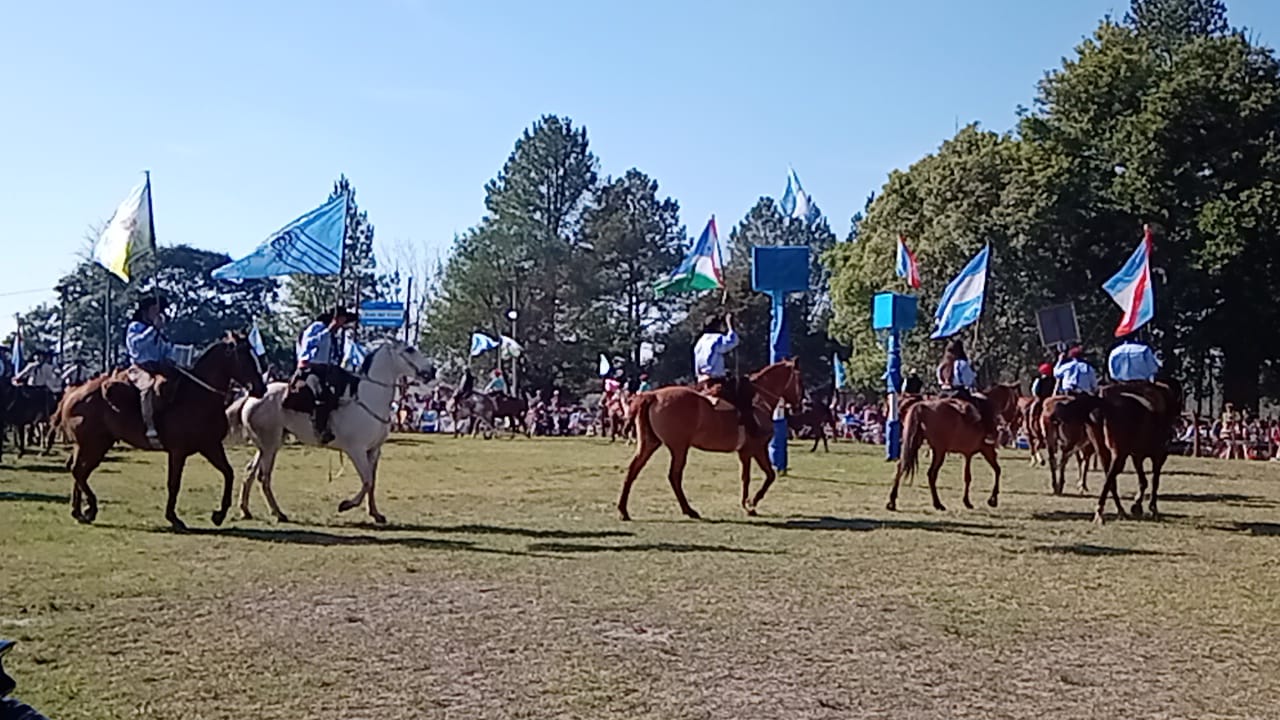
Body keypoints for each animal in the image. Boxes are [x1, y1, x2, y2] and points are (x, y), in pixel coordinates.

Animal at [56, 333, 266, 530]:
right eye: (245, 356)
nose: (261, 388)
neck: (198, 397)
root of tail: (73, 393)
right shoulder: (178, 452)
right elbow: (174, 483)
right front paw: (173, 518)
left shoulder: (210, 446)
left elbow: (228, 473)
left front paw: (219, 515)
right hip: (93, 444)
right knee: (78, 471)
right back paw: (91, 508)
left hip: (93, 445)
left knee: (79, 470)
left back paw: (79, 511)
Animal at [235, 340, 435, 525]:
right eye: (409, 349)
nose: (432, 370)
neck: (368, 398)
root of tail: (252, 397)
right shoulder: (356, 451)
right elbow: (367, 481)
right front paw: (345, 505)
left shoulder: (374, 451)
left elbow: (372, 482)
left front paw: (376, 514)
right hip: (270, 445)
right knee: (264, 477)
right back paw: (278, 513)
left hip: (266, 446)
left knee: (250, 471)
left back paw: (246, 510)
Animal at [617, 359, 803, 521]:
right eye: (799, 381)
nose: (798, 406)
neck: (758, 400)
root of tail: (653, 396)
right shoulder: (755, 449)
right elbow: (764, 476)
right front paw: (751, 503)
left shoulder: (746, 452)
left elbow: (752, 476)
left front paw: (748, 503)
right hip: (679, 448)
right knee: (674, 476)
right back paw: (689, 510)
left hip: (650, 444)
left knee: (633, 469)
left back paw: (623, 510)